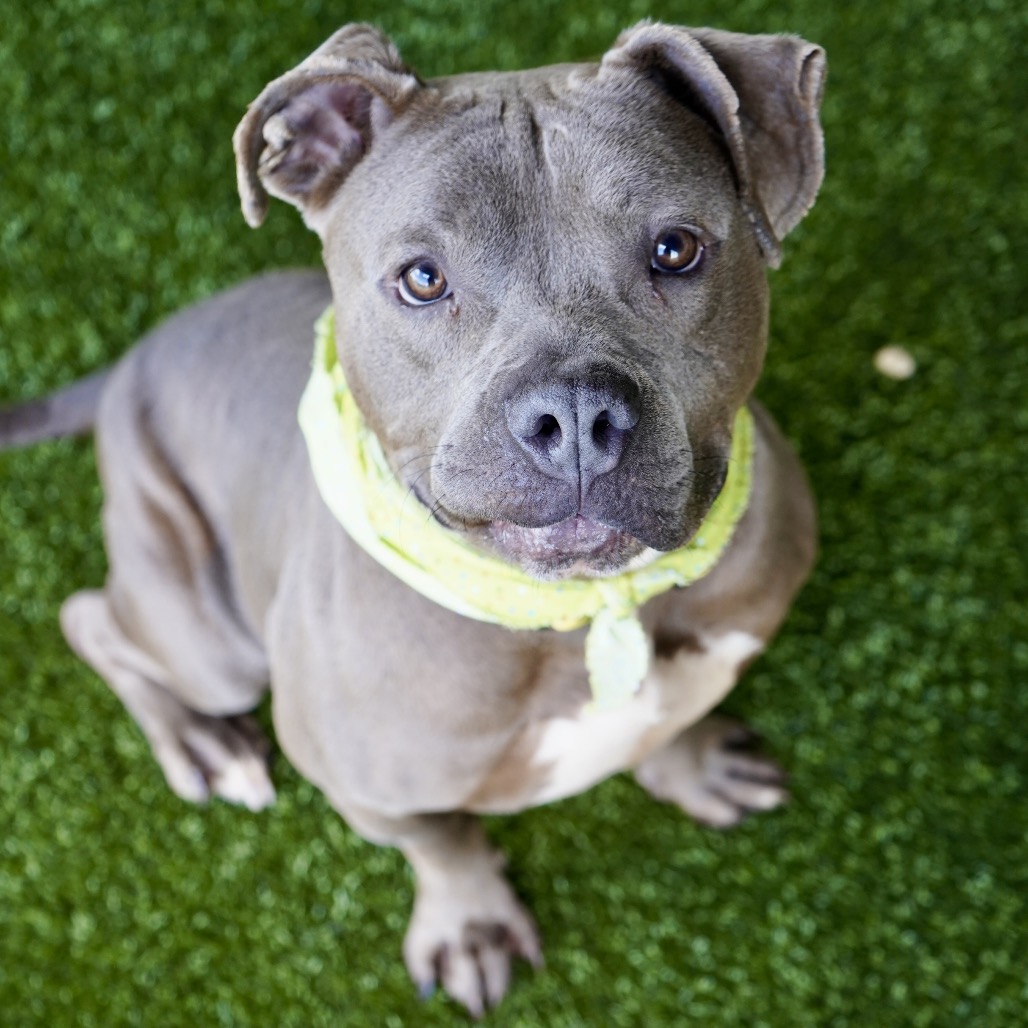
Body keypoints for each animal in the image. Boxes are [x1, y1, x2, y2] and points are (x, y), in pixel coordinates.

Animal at [0, 21, 825, 1014]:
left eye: (675, 249)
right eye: (424, 278)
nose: (576, 413)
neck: (586, 609)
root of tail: (131, 361)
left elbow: (667, 722)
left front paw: (693, 762)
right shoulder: (367, 786)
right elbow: (441, 841)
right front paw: (469, 922)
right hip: (209, 640)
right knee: (92, 618)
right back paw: (200, 741)